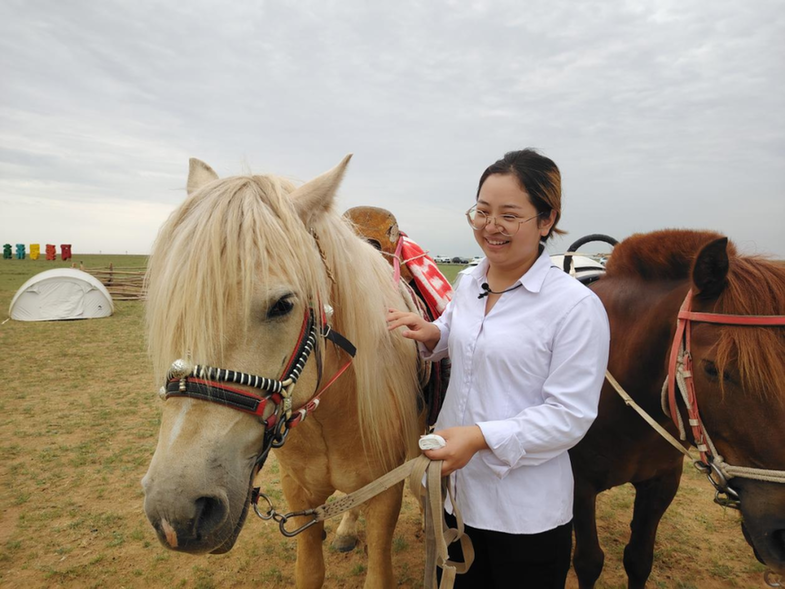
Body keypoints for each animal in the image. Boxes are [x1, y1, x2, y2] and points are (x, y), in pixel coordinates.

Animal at [568, 231, 784, 588]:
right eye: (712, 368)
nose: (781, 532)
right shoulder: (578, 486)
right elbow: (588, 562)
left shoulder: (662, 482)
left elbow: (638, 559)